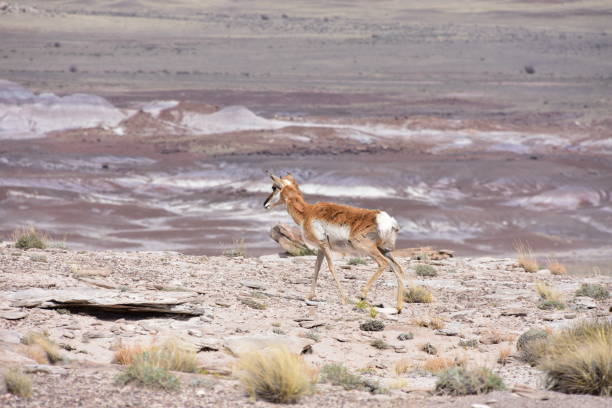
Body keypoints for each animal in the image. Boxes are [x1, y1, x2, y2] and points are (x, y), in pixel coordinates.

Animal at [262, 172, 406, 312]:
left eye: (274, 187)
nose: (265, 204)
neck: (307, 212)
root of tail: (387, 220)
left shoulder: (324, 246)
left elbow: (331, 267)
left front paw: (343, 298)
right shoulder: (320, 248)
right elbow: (316, 267)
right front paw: (310, 295)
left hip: (366, 247)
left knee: (383, 263)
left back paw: (362, 294)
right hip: (384, 250)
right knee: (398, 268)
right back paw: (398, 307)